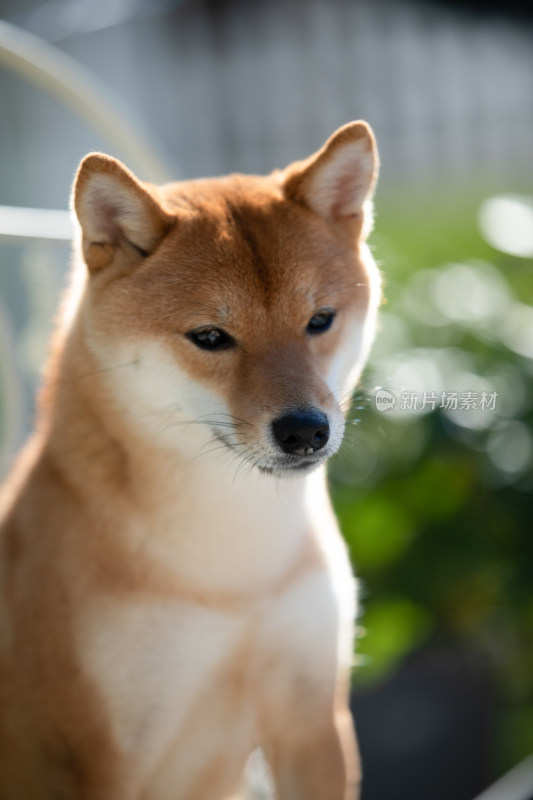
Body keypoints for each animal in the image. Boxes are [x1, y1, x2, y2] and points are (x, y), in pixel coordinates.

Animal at [0, 120, 378, 800]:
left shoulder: (312, 721)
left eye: (320, 321)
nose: (306, 431)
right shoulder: (101, 759)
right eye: (210, 337)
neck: (229, 568)